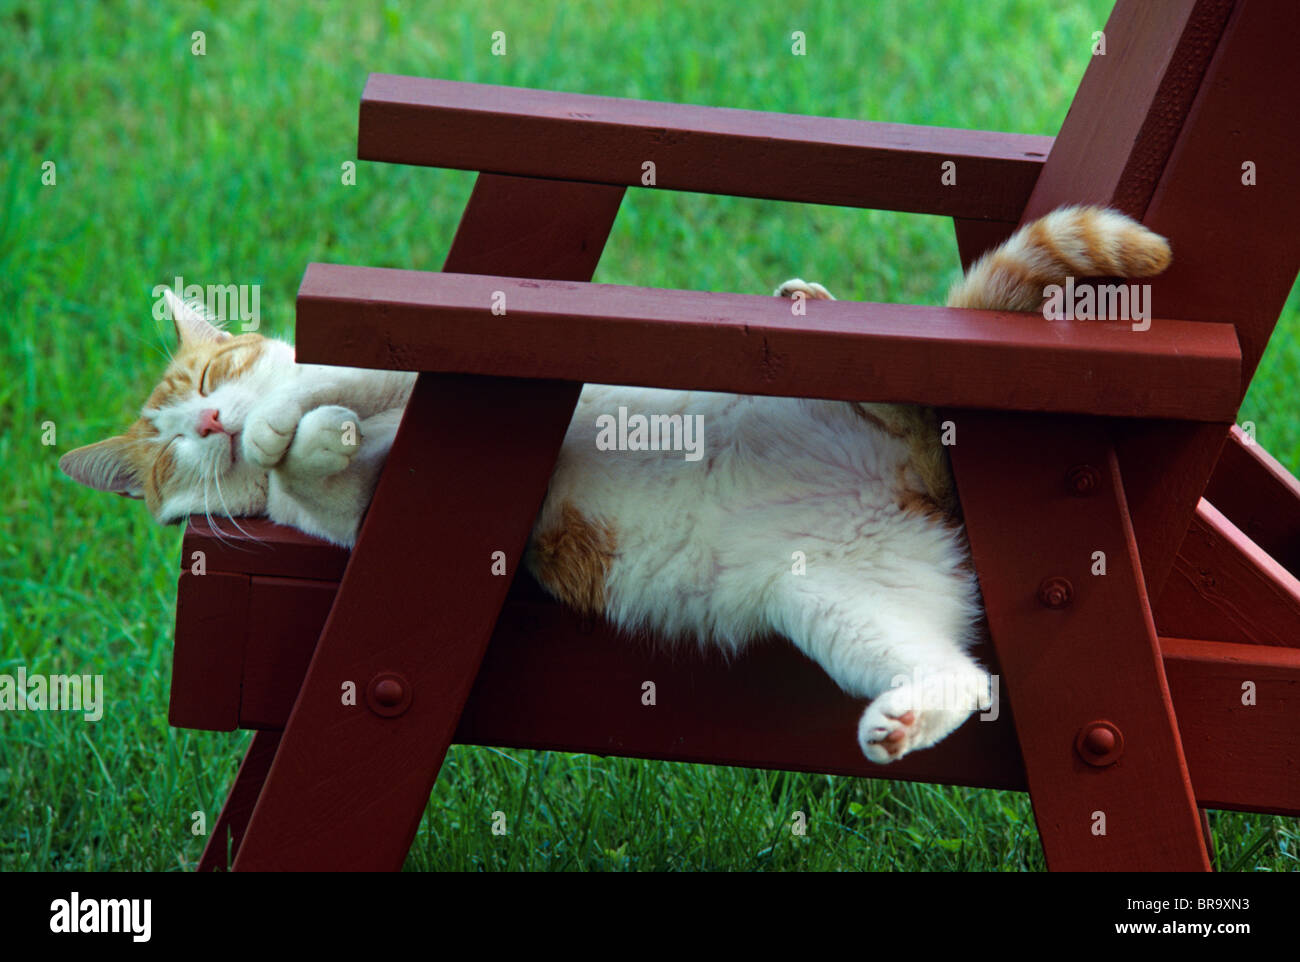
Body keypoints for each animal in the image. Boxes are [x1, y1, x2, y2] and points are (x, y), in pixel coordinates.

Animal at [63, 206, 1180, 764]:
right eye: (168, 452)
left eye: (206, 378)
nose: (209, 424)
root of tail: (914, 472)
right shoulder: (366, 512)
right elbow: (318, 473)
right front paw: (310, 442)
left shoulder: (394, 377)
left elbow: (310, 389)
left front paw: (290, 419)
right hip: (840, 607)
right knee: (965, 679)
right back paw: (900, 722)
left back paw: (813, 304)